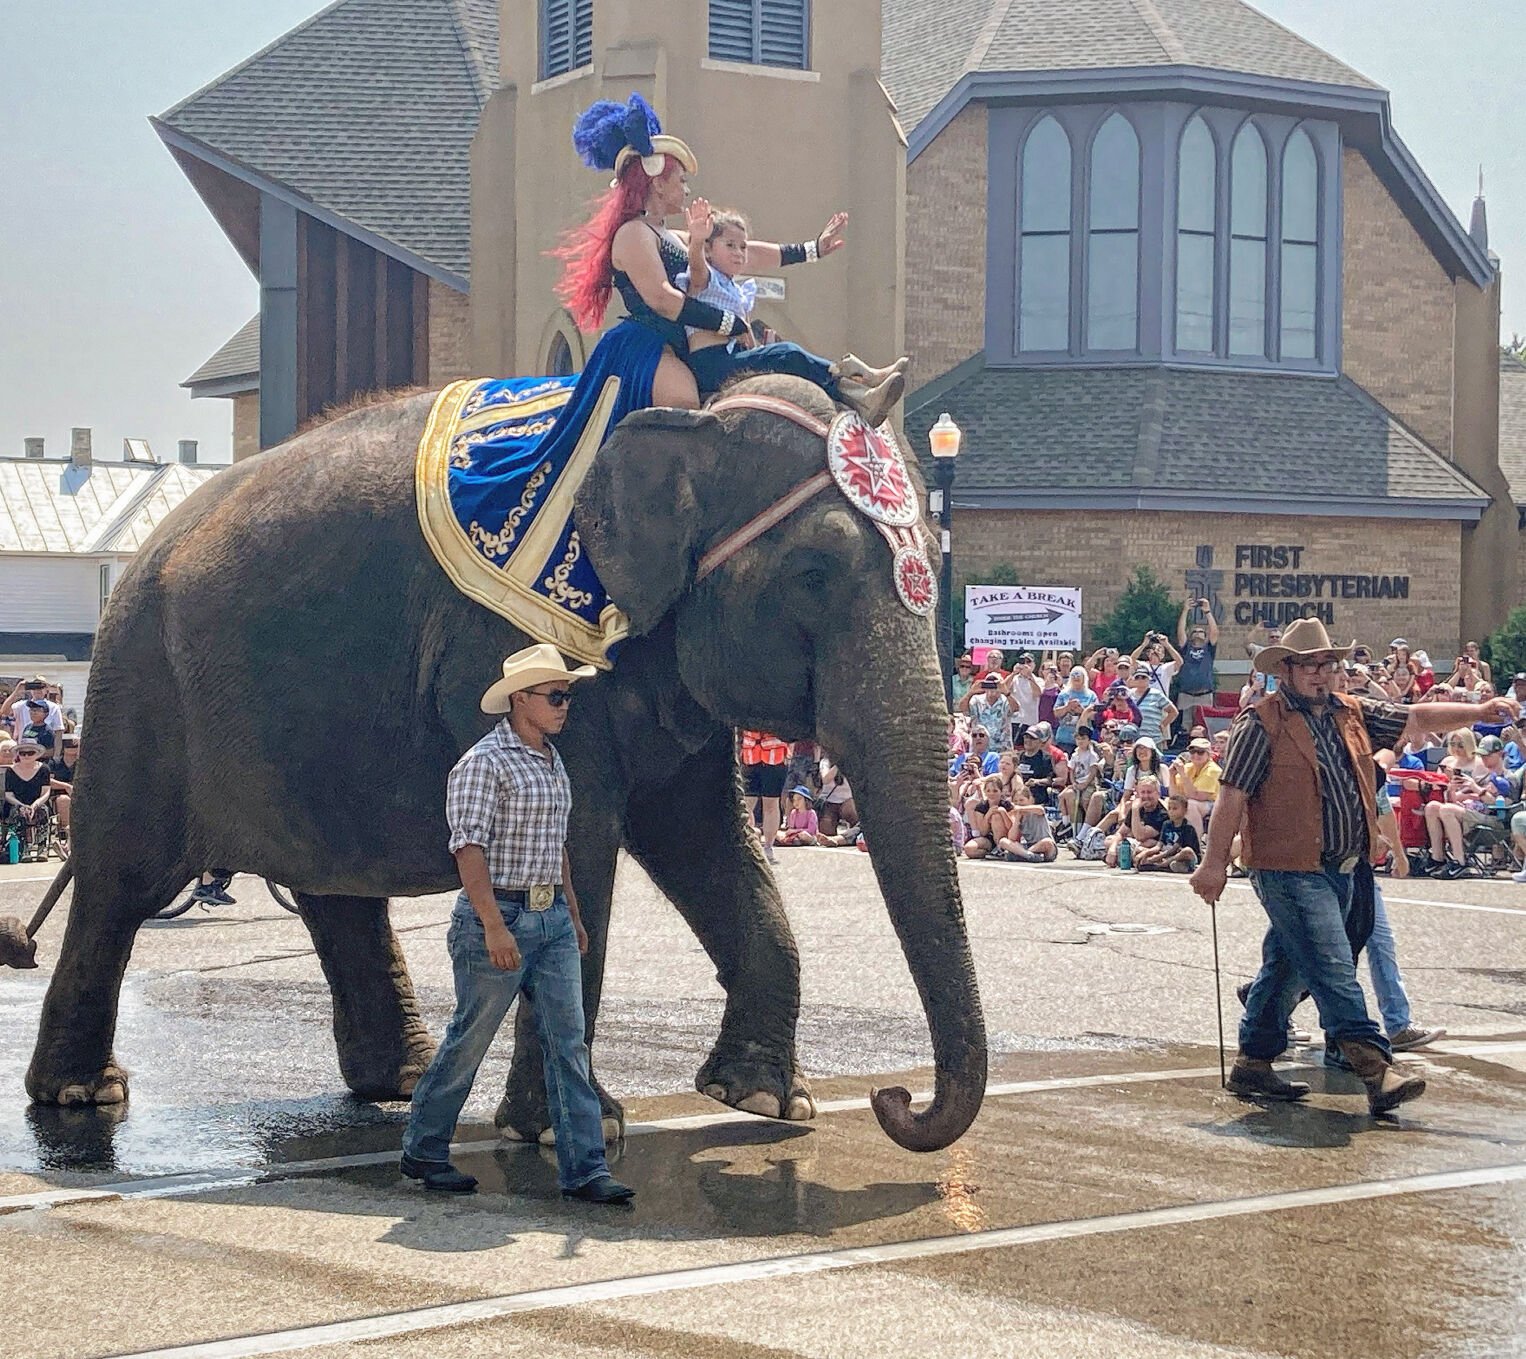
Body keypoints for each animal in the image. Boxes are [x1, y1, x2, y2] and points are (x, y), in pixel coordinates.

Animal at [29, 375, 994, 1159]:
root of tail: (144, 555)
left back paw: (403, 1082)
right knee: (123, 882)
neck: (693, 410)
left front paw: (762, 1102)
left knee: (336, 892)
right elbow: (583, 835)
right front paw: (573, 1128)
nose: (894, 1098)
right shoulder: (509, 643)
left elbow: (706, 839)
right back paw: (81, 1094)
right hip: (138, 691)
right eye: (813, 573)